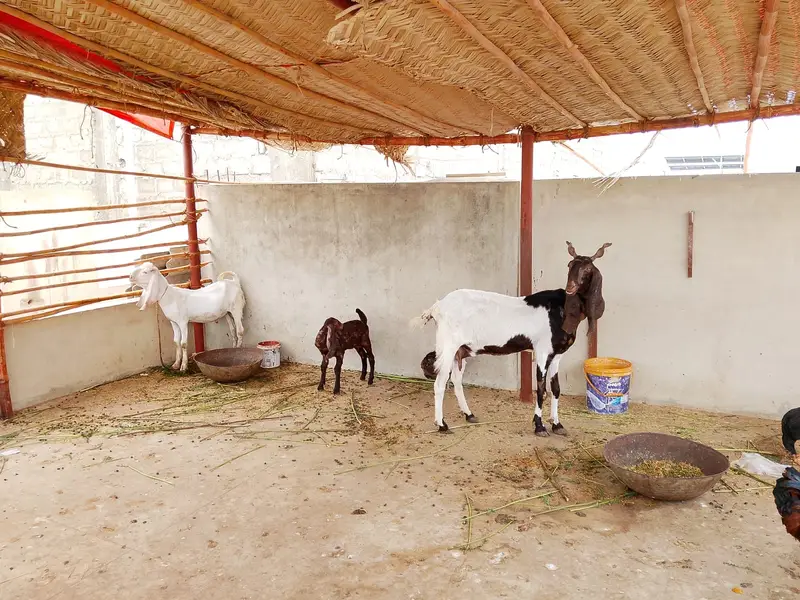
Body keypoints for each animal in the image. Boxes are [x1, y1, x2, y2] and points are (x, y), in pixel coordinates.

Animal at [410, 241, 611, 434]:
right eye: (569, 265)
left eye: (588, 269)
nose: (570, 288)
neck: (562, 309)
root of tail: (437, 306)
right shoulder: (542, 351)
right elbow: (541, 389)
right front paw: (539, 426)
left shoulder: (557, 354)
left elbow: (555, 389)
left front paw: (557, 425)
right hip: (447, 345)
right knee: (439, 383)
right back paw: (442, 425)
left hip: (460, 350)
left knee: (456, 380)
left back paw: (469, 415)